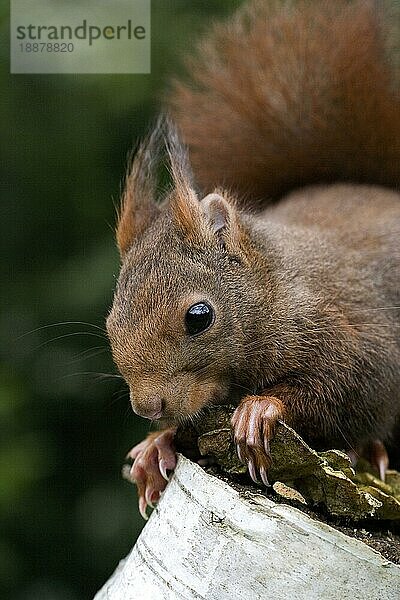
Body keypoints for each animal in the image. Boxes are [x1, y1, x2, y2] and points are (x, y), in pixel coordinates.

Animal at [105, 0, 400, 516]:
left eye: (199, 316)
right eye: (110, 322)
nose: (148, 407)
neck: (271, 289)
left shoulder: (351, 331)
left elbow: (354, 387)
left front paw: (262, 409)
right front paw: (157, 447)